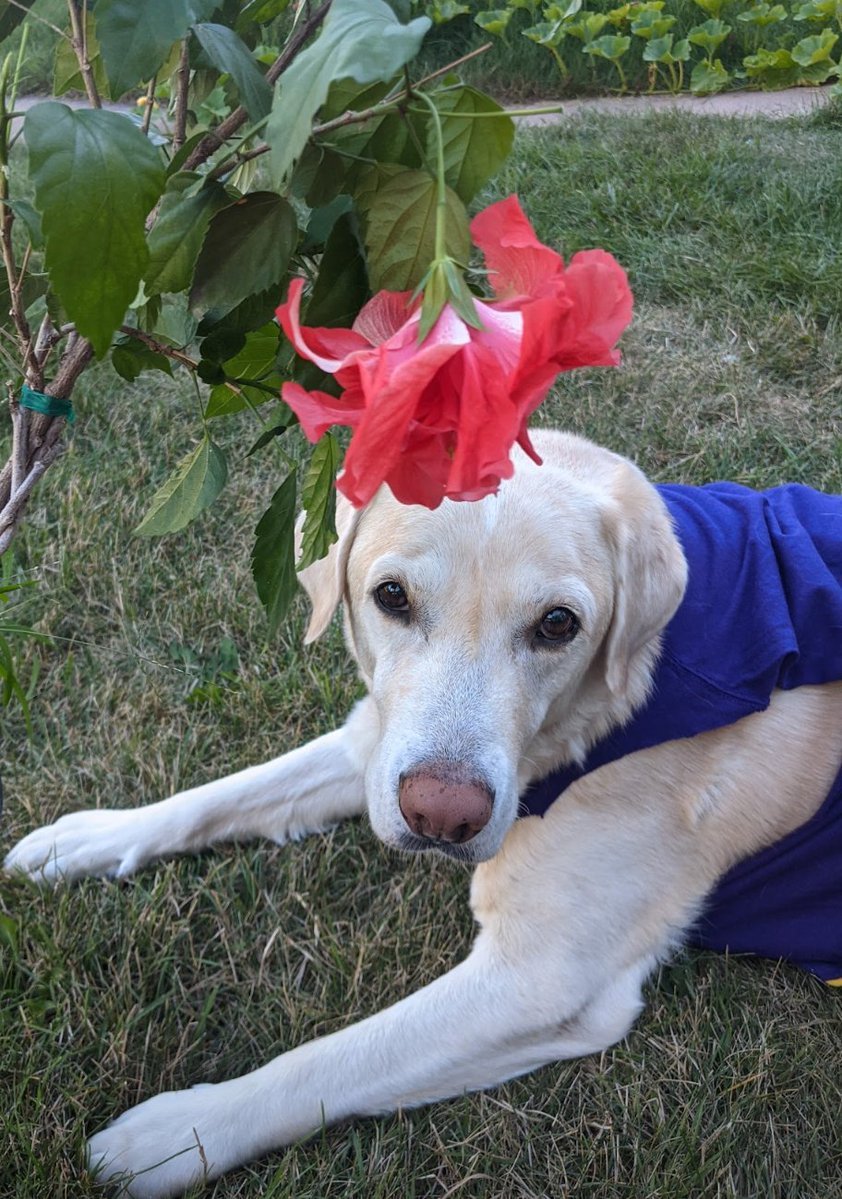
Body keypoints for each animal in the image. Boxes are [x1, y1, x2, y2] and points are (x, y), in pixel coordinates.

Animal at [6, 429, 842, 1189]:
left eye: (558, 623)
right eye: (392, 597)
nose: (441, 815)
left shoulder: (542, 978)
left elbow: (329, 1060)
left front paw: (177, 1134)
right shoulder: (377, 744)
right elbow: (219, 796)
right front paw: (87, 838)